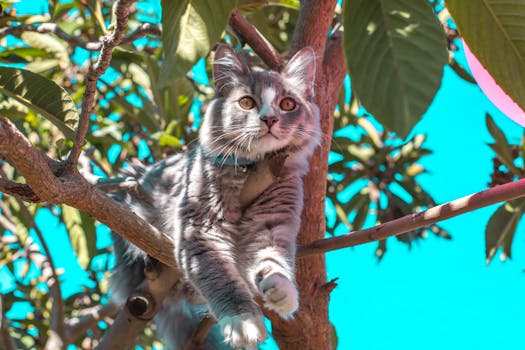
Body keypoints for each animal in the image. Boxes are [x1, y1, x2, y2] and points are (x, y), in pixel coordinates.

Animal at [110, 42, 320, 348]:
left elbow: (273, 261)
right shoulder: (201, 229)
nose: (269, 119)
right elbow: (222, 280)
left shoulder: (271, 224)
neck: (251, 172)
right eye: (247, 103)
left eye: (288, 105)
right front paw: (243, 322)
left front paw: (281, 291)